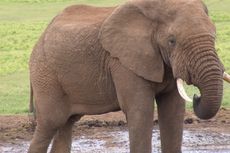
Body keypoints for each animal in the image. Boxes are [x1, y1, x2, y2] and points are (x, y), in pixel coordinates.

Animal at [28, 0, 230, 153]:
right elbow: (140, 110)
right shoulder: (122, 62)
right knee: (51, 122)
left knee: (67, 124)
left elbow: (173, 110)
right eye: (172, 41)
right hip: (45, 74)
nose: (196, 96)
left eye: (214, 36)